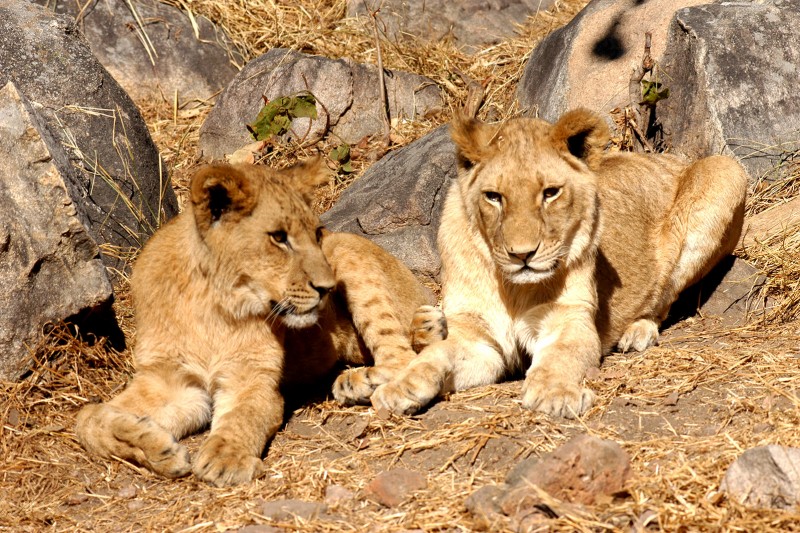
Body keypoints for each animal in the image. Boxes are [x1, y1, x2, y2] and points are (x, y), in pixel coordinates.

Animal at [75, 159, 433, 486]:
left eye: (317, 234)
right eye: (278, 237)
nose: (329, 288)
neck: (212, 305)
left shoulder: (253, 379)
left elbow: (242, 417)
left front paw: (226, 459)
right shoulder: (172, 383)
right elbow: (89, 418)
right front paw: (157, 450)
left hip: (347, 250)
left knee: (400, 355)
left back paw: (359, 382)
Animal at [371, 108, 748, 419]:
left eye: (550, 193)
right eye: (493, 197)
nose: (522, 254)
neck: (514, 289)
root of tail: (671, 159)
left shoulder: (570, 318)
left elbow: (560, 357)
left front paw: (554, 394)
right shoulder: (477, 337)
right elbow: (435, 356)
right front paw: (398, 387)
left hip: (726, 172)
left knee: (664, 298)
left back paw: (637, 332)